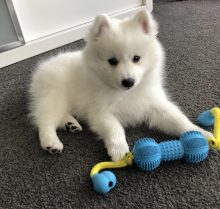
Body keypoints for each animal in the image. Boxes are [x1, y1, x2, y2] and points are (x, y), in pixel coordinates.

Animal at [29, 10, 213, 162]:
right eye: (112, 61)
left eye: (136, 58)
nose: (128, 81)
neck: (126, 93)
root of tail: (42, 68)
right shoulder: (100, 112)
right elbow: (114, 129)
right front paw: (119, 150)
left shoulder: (154, 105)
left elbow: (178, 120)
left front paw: (201, 134)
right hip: (55, 97)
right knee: (45, 120)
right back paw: (51, 143)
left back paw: (71, 124)